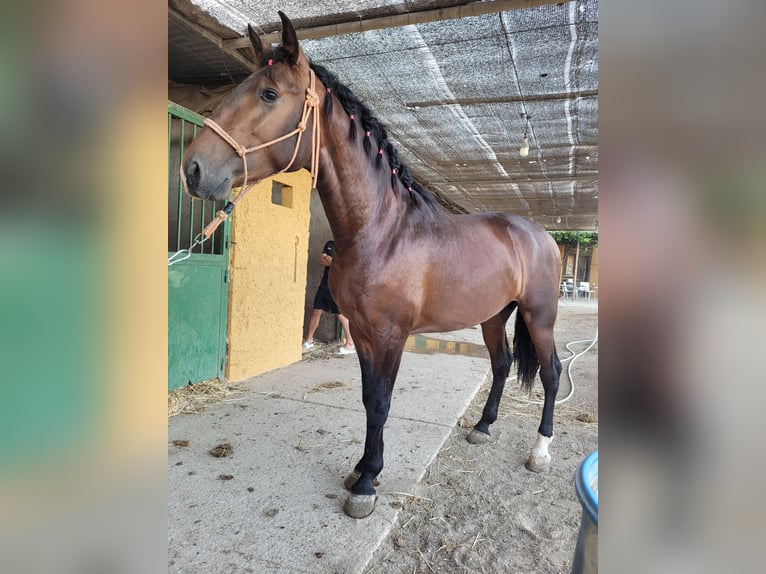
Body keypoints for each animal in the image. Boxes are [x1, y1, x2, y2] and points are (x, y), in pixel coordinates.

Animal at [181, 12, 562, 519]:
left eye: (269, 94)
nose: (193, 169)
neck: (381, 231)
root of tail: (540, 234)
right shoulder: (361, 332)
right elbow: (367, 399)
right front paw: (363, 468)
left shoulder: (389, 335)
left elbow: (381, 402)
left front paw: (366, 485)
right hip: (493, 316)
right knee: (501, 366)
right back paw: (482, 427)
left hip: (540, 317)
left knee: (551, 374)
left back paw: (540, 451)